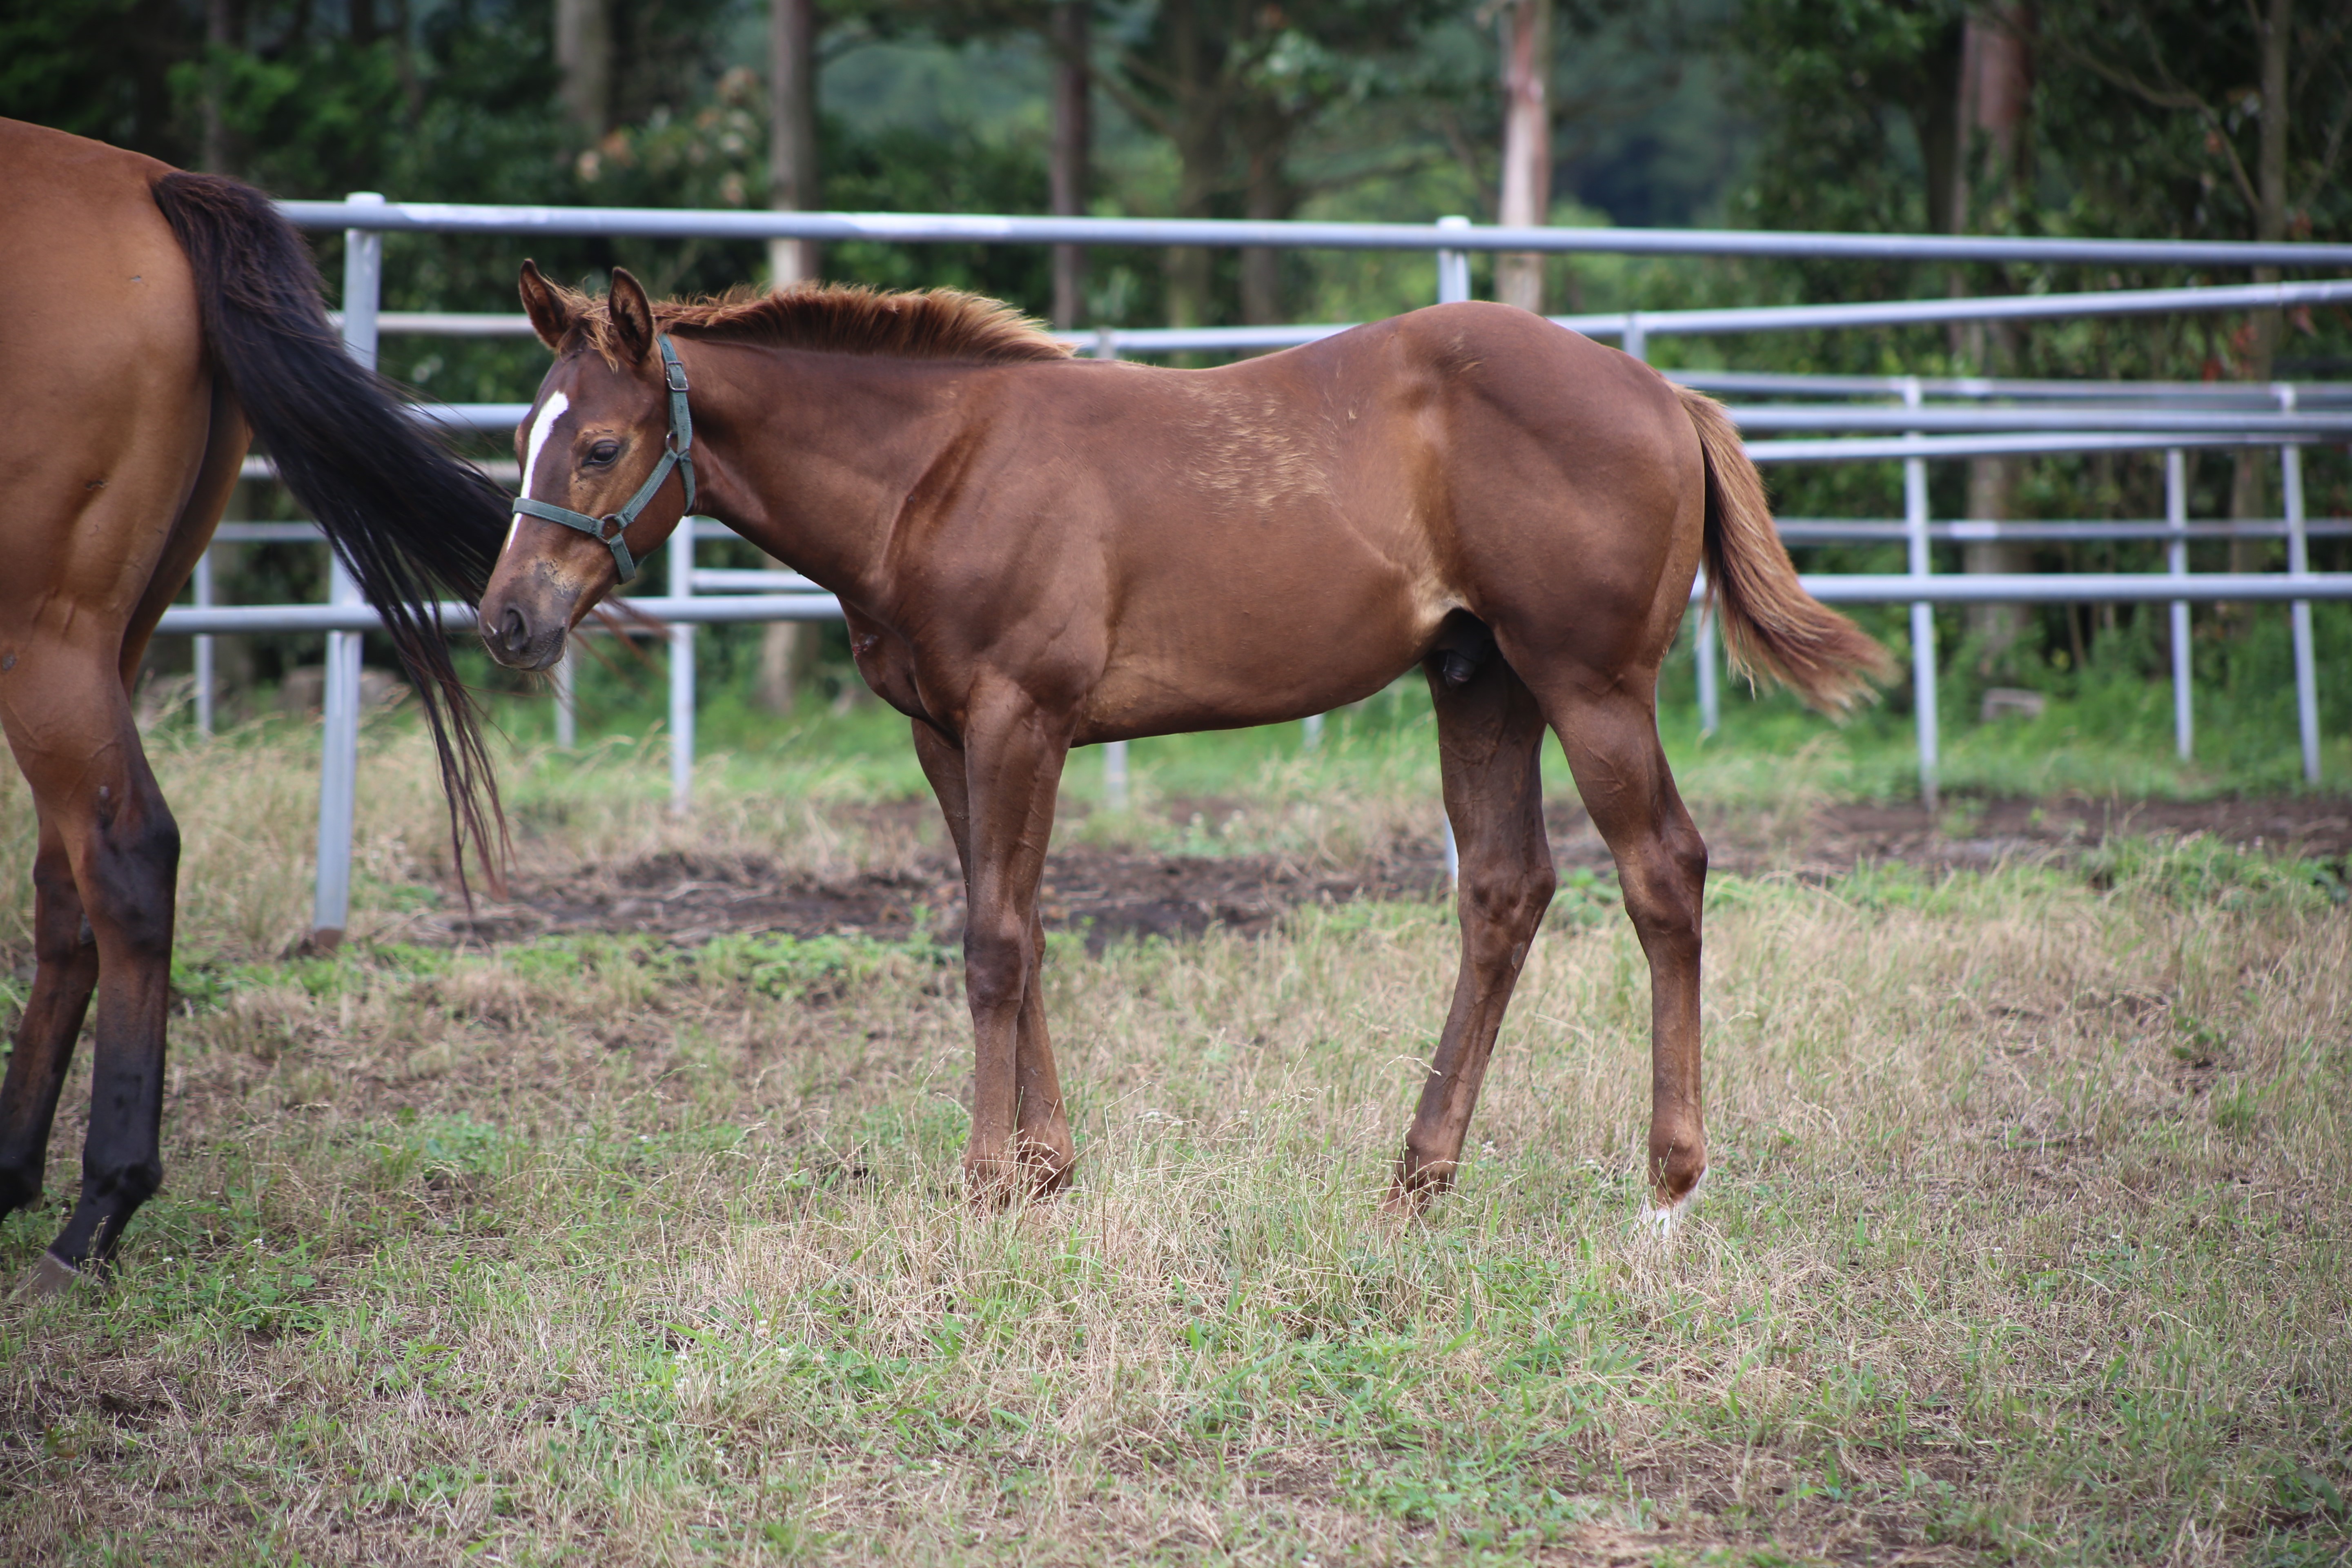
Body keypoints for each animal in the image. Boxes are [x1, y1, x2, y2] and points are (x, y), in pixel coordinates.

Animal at [0, 122, 506, 1297]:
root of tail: (150, 183)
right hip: (112, 633)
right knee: (69, 884)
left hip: (46, 634)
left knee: (125, 857)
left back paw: (91, 1216)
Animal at [482, 267, 1891, 1222]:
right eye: (519, 437)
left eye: (600, 444)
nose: (506, 620)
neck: (939, 469)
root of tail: (1664, 393)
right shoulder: (947, 734)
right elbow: (1018, 928)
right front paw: (1047, 1170)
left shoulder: (1022, 716)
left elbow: (993, 945)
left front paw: (985, 1180)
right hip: (1481, 678)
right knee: (1504, 889)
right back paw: (1418, 1175)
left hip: (1590, 682)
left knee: (1663, 871)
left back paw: (1667, 1185)